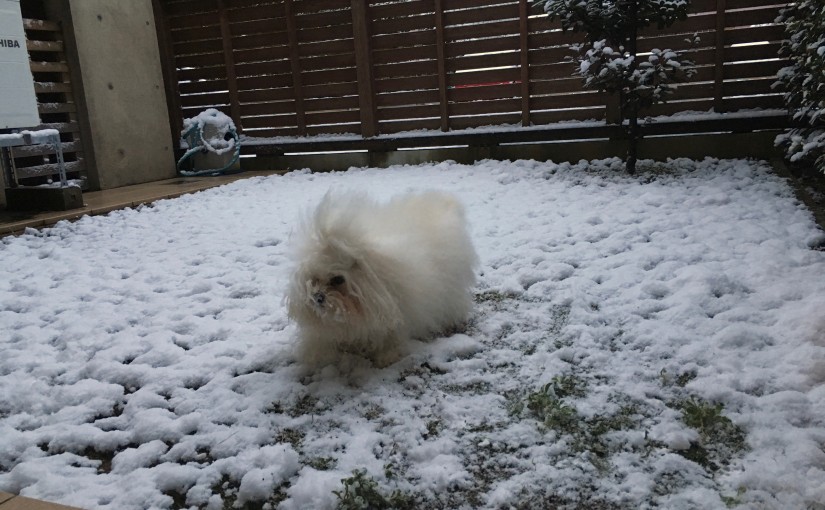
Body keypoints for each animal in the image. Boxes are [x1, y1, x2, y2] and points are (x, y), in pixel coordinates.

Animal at [286, 189, 476, 364]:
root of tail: (443, 203)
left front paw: (387, 356)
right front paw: (318, 356)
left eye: (338, 279)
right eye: (314, 279)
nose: (317, 297)